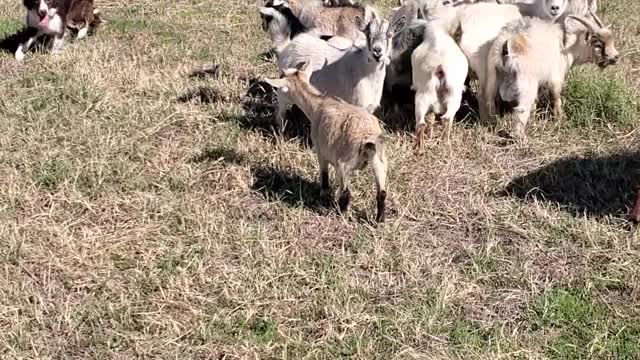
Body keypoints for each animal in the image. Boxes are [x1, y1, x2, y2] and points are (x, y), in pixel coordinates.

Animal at [484, 14, 620, 136]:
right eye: (598, 45)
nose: (616, 57)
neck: (565, 47)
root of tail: (507, 44)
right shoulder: (555, 78)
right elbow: (556, 98)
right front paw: (559, 120)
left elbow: (536, 102)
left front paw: (534, 119)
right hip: (526, 82)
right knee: (521, 109)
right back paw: (519, 137)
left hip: (493, 76)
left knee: (490, 101)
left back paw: (491, 124)